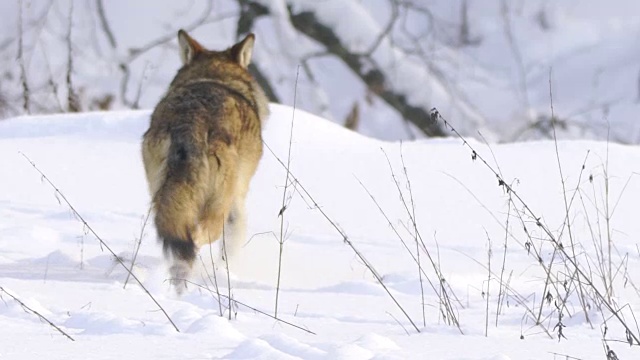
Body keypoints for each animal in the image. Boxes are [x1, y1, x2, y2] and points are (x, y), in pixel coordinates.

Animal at [141, 29, 268, 292]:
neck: (214, 77)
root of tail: (190, 121)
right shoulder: (237, 205)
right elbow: (231, 249)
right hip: (217, 208)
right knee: (195, 238)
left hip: (161, 198)